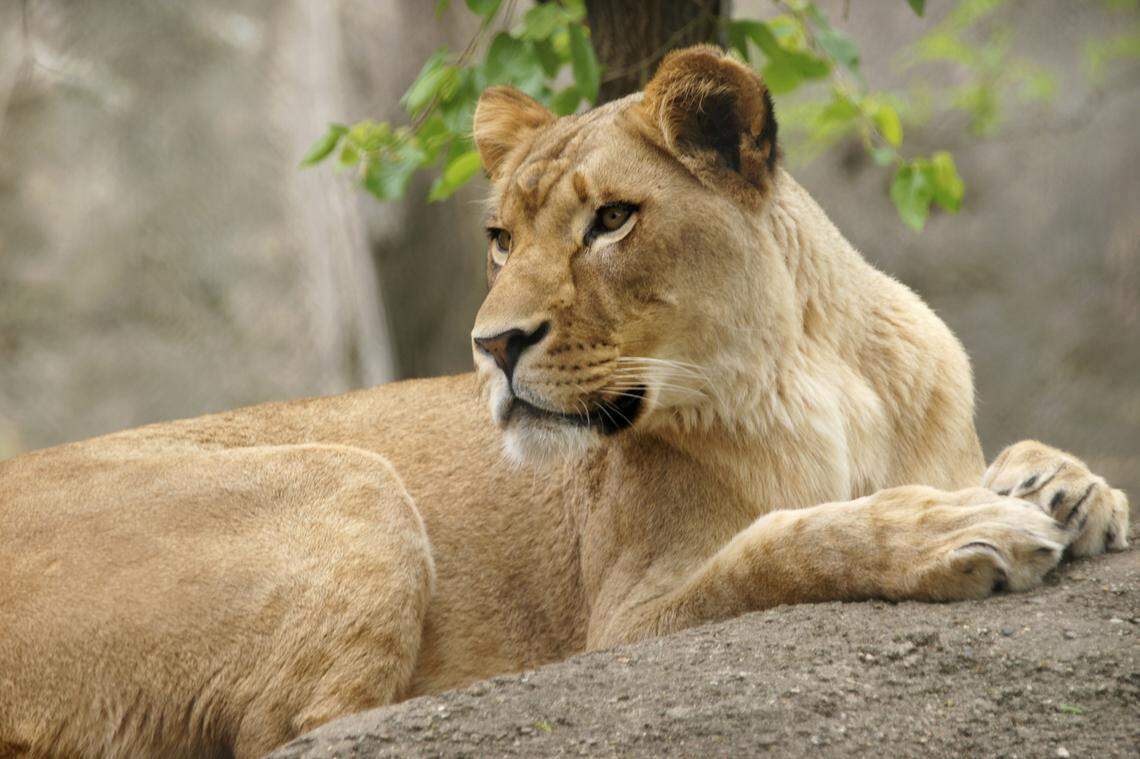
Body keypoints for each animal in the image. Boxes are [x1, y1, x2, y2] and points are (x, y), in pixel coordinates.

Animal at [0, 46, 1130, 758]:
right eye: (501, 239)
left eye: (613, 220)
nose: (493, 346)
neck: (813, 376)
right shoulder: (626, 620)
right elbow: (783, 545)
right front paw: (961, 528)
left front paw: (1063, 486)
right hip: (347, 476)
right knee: (303, 730)